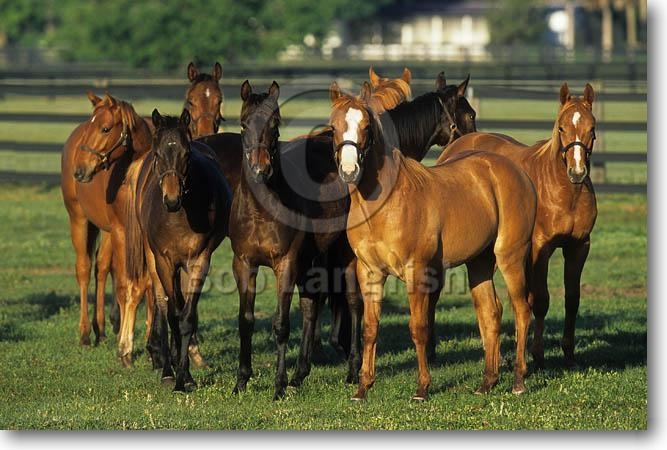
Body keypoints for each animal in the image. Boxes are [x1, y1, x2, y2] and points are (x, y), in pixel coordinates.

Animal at [60, 92, 155, 366]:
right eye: (91, 128)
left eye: (105, 128)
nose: (80, 170)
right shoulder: (123, 233)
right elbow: (125, 286)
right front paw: (126, 348)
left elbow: (150, 288)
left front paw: (153, 346)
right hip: (79, 219)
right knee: (84, 269)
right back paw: (85, 334)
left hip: (105, 231)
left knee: (101, 268)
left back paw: (100, 330)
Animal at [127, 108, 231, 391]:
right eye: (158, 154)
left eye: (186, 154)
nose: (172, 200)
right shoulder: (164, 261)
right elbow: (171, 314)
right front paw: (171, 374)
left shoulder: (198, 261)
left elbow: (186, 318)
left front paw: (186, 377)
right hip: (155, 261)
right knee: (163, 305)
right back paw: (167, 366)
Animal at [230, 80, 355, 400]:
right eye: (243, 124)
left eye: (275, 125)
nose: (261, 170)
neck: (260, 210)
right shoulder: (244, 264)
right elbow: (245, 321)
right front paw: (241, 380)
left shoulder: (285, 264)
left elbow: (281, 324)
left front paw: (278, 385)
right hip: (312, 260)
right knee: (312, 305)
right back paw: (300, 374)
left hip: (344, 257)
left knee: (353, 302)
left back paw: (352, 371)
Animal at [329, 82, 537, 401]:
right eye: (333, 127)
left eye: (366, 127)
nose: (349, 170)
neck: (386, 203)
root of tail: (518, 173)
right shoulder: (369, 273)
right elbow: (370, 328)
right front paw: (363, 387)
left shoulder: (416, 272)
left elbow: (419, 328)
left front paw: (422, 388)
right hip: (479, 264)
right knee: (491, 313)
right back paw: (487, 382)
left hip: (510, 258)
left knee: (522, 311)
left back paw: (517, 381)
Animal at [437, 82, 598, 369]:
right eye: (561, 128)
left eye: (592, 128)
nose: (577, 172)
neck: (563, 190)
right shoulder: (540, 249)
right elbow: (540, 300)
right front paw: (538, 355)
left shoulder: (579, 247)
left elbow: (572, 299)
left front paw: (569, 354)